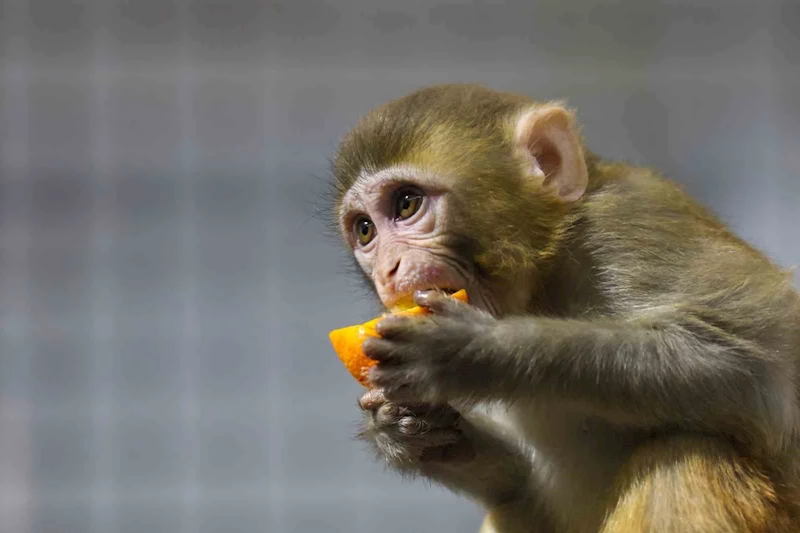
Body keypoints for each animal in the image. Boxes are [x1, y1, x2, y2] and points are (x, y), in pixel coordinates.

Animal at [324, 84, 800, 532]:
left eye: (406, 203)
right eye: (365, 230)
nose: (387, 270)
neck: (545, 279)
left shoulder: (631, 223)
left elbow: (760, 366)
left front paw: (473, 351)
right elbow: (520, 489)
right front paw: (405, 429)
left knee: (684, 456)